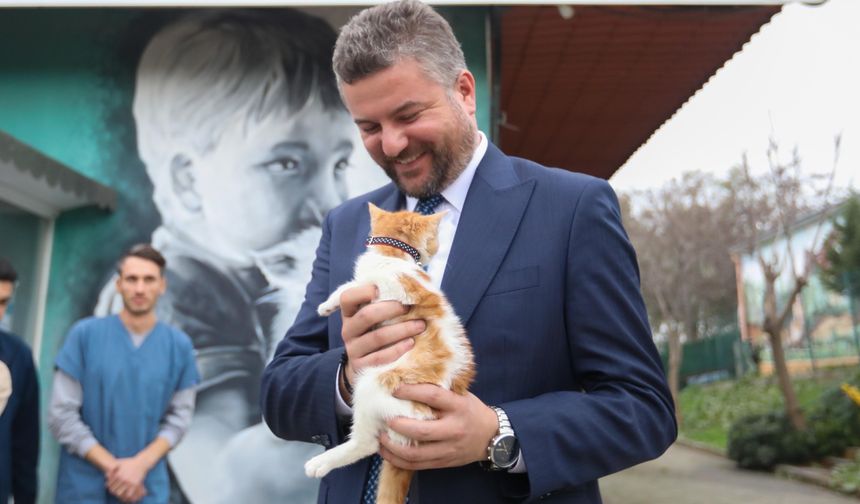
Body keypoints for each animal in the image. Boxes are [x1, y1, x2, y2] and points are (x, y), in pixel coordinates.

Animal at [304, 203, 478, 502]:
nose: (436, 246)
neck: (393, 252)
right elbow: (352, 285)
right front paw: (329, 305)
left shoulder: (397, 290)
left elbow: (353, 285)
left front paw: (328, 303)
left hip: (375, 385)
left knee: (367, 443)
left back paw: (321, 462)